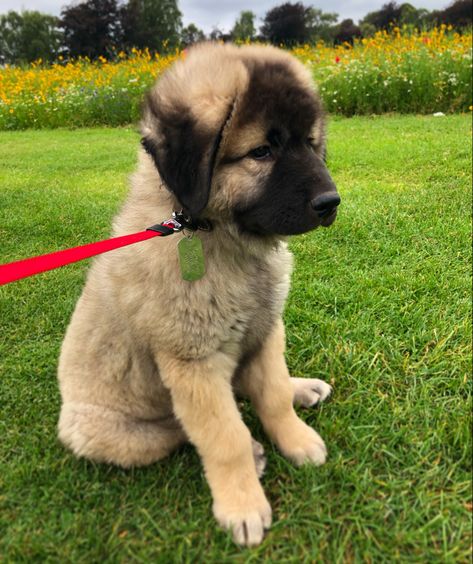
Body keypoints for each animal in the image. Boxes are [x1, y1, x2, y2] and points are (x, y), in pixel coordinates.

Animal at [58, 44, 340, 548]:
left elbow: (271, 395)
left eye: (310, 143)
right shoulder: (194, 362)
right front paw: (243, 504)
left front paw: (296, 437)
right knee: (179, 429)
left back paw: (302, 388)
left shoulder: (266, 328)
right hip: (101, 430)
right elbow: (224, 437)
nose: (331, 203)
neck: (211, 232)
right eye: (261, 151)